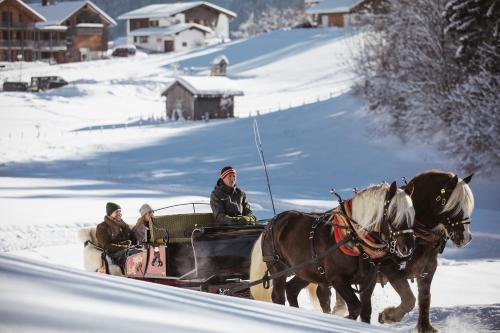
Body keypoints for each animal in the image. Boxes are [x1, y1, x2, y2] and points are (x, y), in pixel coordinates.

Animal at [252, 182, 416, 322]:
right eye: (393, 212)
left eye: (412, 214)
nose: (408, 247)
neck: (353, 237)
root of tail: (272, 222)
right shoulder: (338, 279)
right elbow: (355, 307)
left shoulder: (368, 281)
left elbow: (365, 311)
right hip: (277, 268)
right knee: (278, 296)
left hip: (306, 270)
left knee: (291, 289)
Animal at [330, 170, 474, 330]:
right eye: (455, 206)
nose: (466, 237)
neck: (418, 236)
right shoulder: (390, 269)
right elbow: (409, 299)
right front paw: (388, 316)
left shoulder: (426, 272)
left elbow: (425, 299)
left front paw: (425, 326)